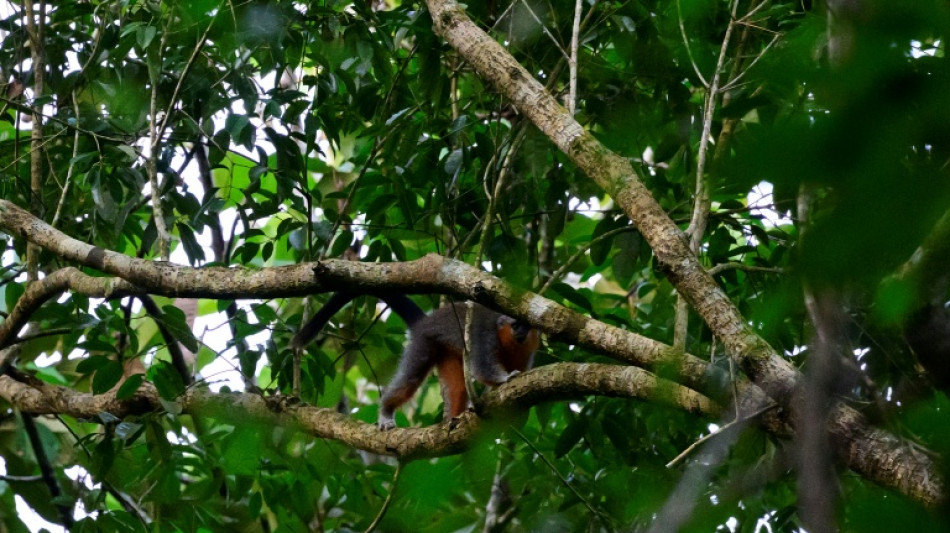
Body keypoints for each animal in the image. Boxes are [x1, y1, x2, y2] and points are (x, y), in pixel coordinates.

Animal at [290, 293, 539, 430]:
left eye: (526, 326)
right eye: (515, 325)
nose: (521, 333)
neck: (507, 340)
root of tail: (427, 322)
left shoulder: (526, 353)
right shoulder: (483, 335)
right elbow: (482, 367)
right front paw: (505, 378)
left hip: (445, 352)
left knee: (458, 387)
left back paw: (456, 418)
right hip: (424, 343)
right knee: (410, 379)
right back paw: (386, 410)